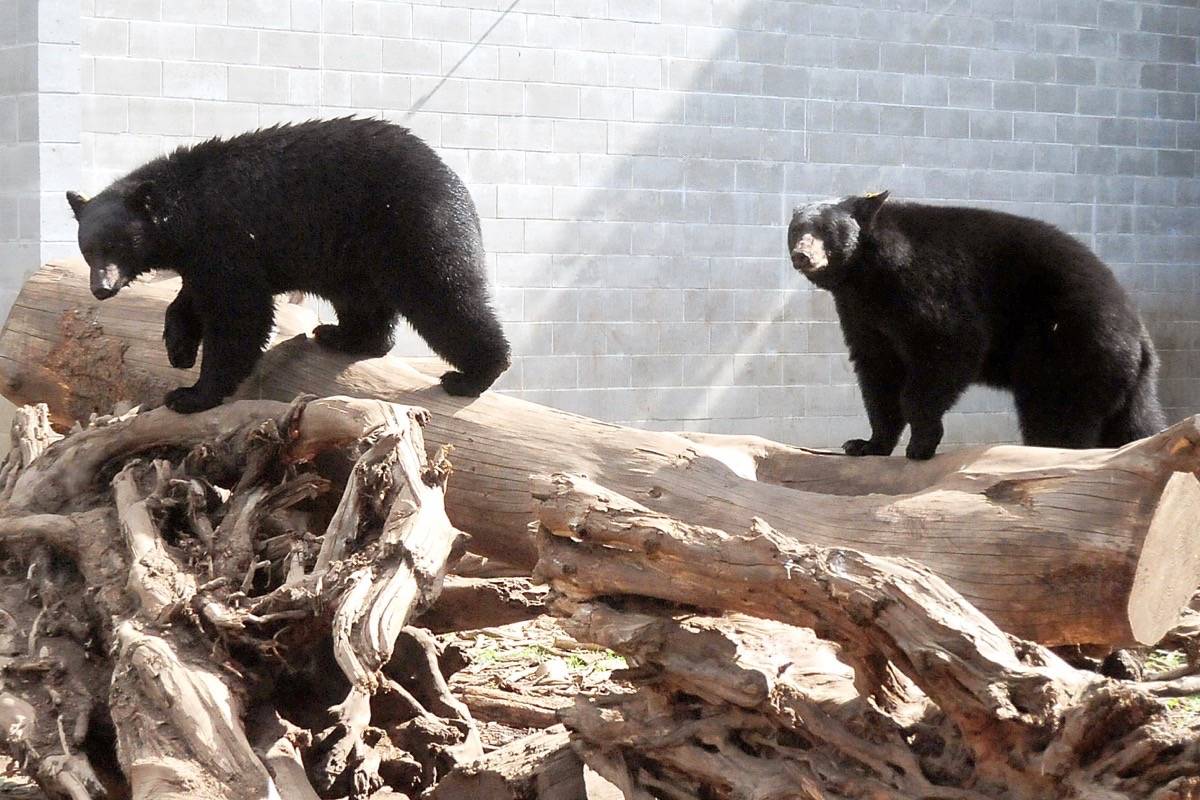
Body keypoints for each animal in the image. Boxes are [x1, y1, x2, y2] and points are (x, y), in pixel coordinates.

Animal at [66, 117, 511, 414]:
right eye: (87, 249)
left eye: (115, 245)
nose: (100, 288)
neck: (183, 212)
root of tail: (452, 177)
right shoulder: (202, 253)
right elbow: (193, 297)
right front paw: (178, 348)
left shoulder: (226, 235)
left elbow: (239, 313)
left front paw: (191, 394)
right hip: (354, 255)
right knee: (364, 302)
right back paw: (343, 335)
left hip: (411, 226)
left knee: (443, 295)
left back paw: (475, 373)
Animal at [786, 191, 1165, 460]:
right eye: (795, 230)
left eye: (825, 230)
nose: (802, 255)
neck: (867, 273)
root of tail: (1140, 337)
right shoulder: (861, 312)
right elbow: (877, 370)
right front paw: (866, 444)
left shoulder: (923, 285)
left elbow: (950, 344)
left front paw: (921, 443)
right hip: (1125, 381)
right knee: (1135, 425)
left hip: (1069, 348)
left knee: (1056, 417)